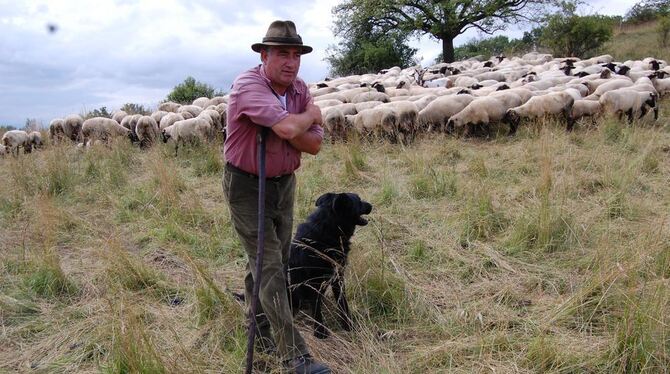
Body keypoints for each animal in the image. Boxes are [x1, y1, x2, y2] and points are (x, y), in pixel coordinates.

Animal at [288, 193, 376, 338]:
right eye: (358, 201)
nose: (371, 205)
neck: (328, 230)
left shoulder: (337, 277)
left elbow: (342, 303)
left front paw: (348, 326)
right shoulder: (314, 283)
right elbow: (317, 308)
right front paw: (320, 332)